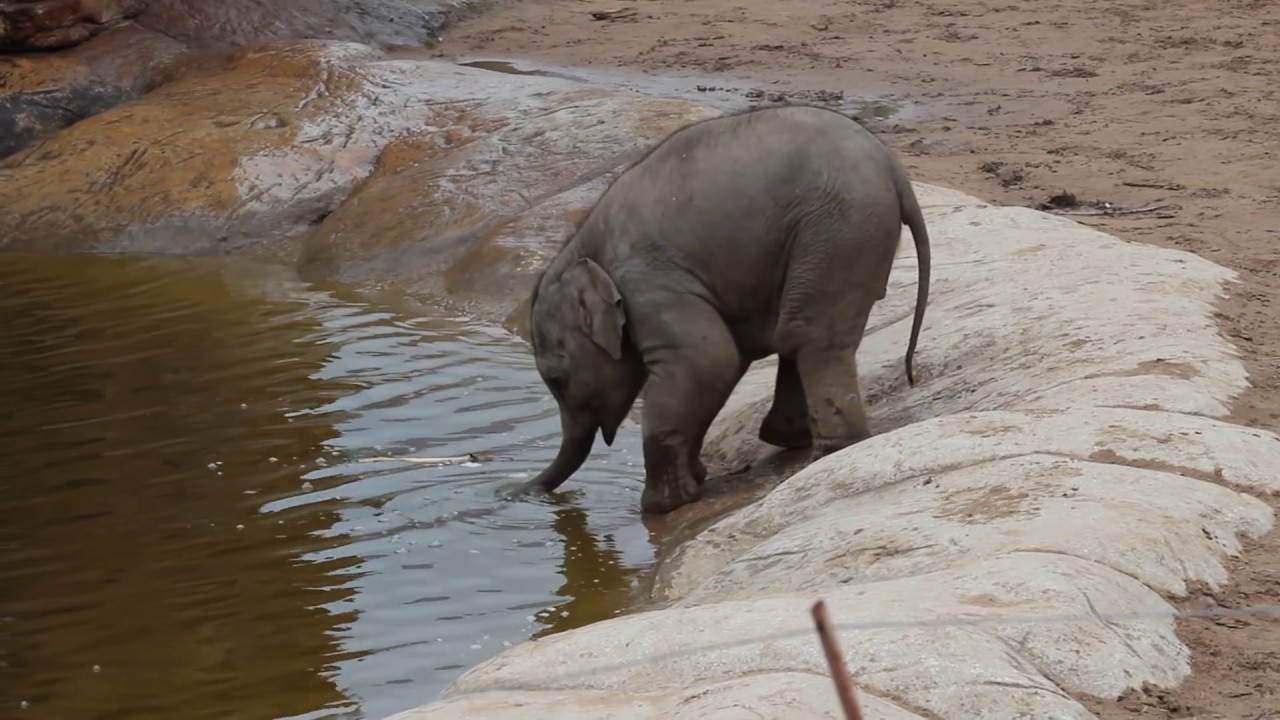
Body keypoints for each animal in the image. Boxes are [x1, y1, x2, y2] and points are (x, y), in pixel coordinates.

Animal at [520, 104, 931, 515]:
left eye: (557, 380)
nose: (514, 493)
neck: (581, 248)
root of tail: (895, 171)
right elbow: (723, 365)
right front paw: (695, 478)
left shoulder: (648, 282)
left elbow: (707, 361)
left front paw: (661, 506)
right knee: (799, 334)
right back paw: (790, 436)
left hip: (839, 230)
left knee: (810, 337)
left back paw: (829, 450)